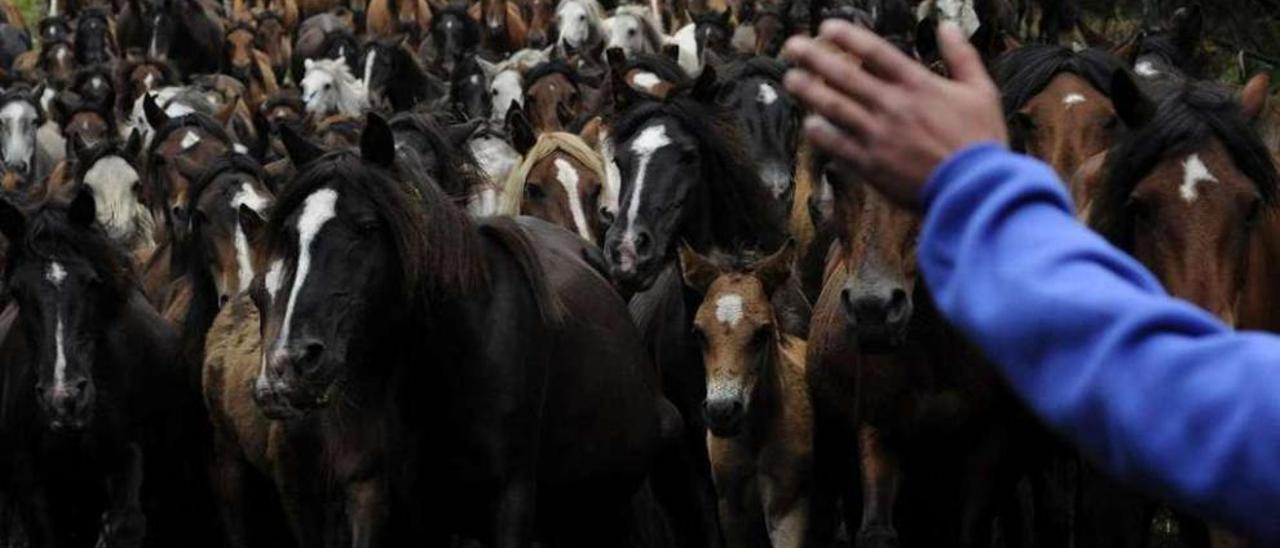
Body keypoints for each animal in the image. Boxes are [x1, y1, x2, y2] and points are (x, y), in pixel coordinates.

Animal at [680, 243, 808, 548]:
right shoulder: (732, 511)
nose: (722, 412)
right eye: (698, 332)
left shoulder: (790, 510)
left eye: (763, 332)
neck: (754, 439)